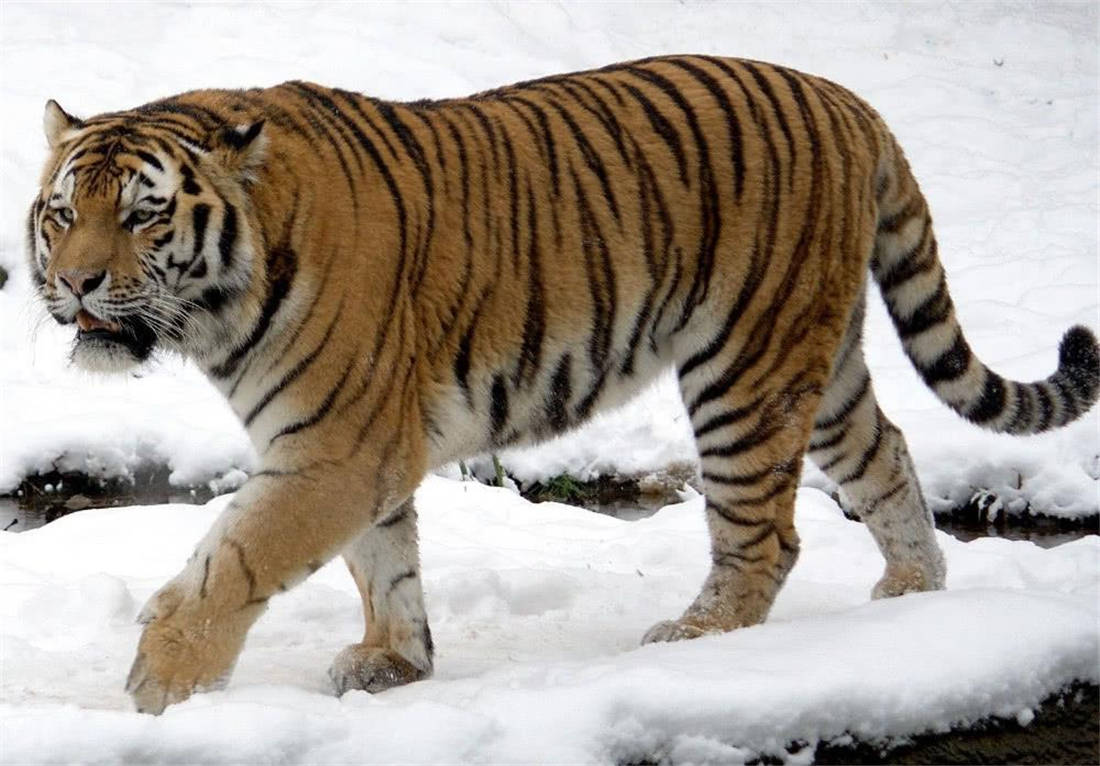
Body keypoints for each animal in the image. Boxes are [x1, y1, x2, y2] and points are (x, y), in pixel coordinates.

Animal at [28, 55, 1099, 715]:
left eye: (142, 216)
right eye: (61, 213)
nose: (75, 283)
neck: (219, 306)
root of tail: (850, 101)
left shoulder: (335, 449)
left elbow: (234, 562)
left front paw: (160, 687)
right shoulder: (357, 449)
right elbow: (384, 563)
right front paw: (395, 662)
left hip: (744, 369)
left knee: (766, 535)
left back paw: (697, 640)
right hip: (819, 364)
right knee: (886, 456)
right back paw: (910, 599)